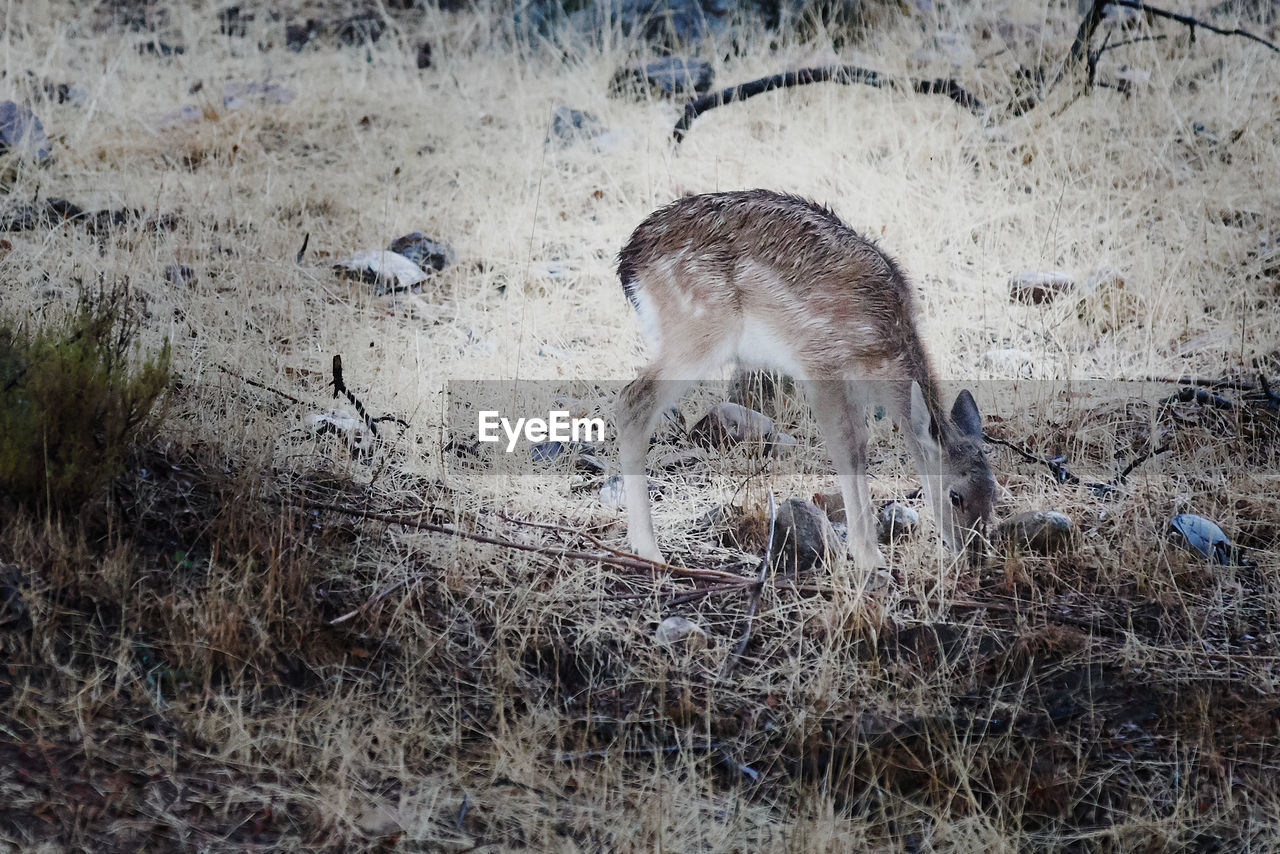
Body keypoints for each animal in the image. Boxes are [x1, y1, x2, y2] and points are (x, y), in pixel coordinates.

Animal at [614, 190, 993, 571]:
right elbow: (846, 449)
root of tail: (629, 259)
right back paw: (649, 549)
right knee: (632, 400)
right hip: (698, 328)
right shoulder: (820, 363)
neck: (881, 354)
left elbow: (860, 446)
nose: (974, 556)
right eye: (955, 496)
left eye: (993, 493)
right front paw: (869, 557)